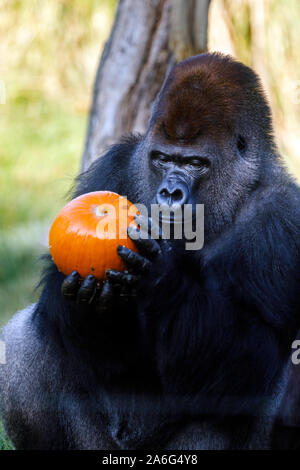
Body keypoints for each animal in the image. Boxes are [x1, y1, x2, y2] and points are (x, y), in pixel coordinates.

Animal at [0, 53, 300, 450]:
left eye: (195, 163)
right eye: (162, 159)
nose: (169, 193)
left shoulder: (283, 219)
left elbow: (252, 359)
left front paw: (162, 278)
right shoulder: (117, 162)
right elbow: (59, 309)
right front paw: (95, 304)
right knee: (25, 340)